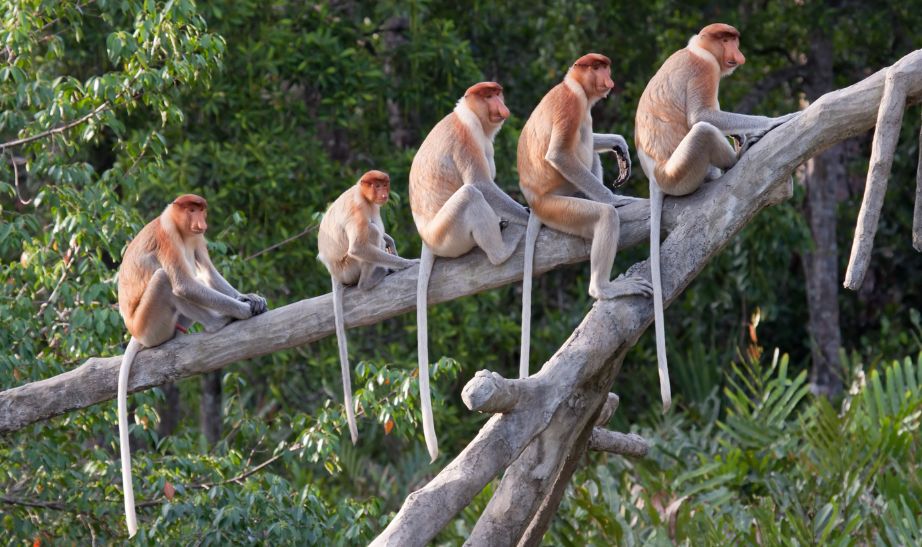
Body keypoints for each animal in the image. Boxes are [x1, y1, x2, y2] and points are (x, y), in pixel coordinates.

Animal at [116, 194, 268, 537]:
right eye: (191, 209)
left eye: (201, 209)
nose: (200, 220)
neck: (181, 228)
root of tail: (135, 331)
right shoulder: (168, 236)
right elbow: (184, 284)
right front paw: (240, 310)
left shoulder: (197, 239)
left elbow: (208, 271)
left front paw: (250, 298)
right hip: (151, 324)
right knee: (166, 280)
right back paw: (217, 322)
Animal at [317, 170, 418, 446]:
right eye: (376, 185)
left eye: (385, 184)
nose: (383, 193)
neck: (362, 194)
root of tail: (334, 273)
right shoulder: (359, 208)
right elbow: (359, 246)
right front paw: (407, 263)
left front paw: (391, 242)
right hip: (349, 267)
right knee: (370, 232)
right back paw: (372, 279)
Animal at [409, 81, 529, 461]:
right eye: (489, 95)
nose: (501, 107)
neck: (468, 116)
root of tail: (427, 238)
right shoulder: (466, 139)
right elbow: (483, 184)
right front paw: (527, 215)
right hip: (450, 233)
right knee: (471, 194)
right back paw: (502, 248)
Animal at [517, 53, 652, 378]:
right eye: (598, 68)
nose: (609, 79)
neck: (573, 86)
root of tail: (535, 203)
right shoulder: (572, 105)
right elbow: (559, 155)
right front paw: (616, 199)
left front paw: (619, 144)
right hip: (560, 205)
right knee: (602, 214)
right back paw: (604, 288)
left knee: (589, 149)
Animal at [635, 23, 798, 412]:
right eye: (727, 40)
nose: (738, 54)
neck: (698, 49)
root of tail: (655, 176)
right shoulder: (704, 70)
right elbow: (703, 115)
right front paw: (772, 122)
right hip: (681, 171)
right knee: (703, 131)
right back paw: (736, 157)